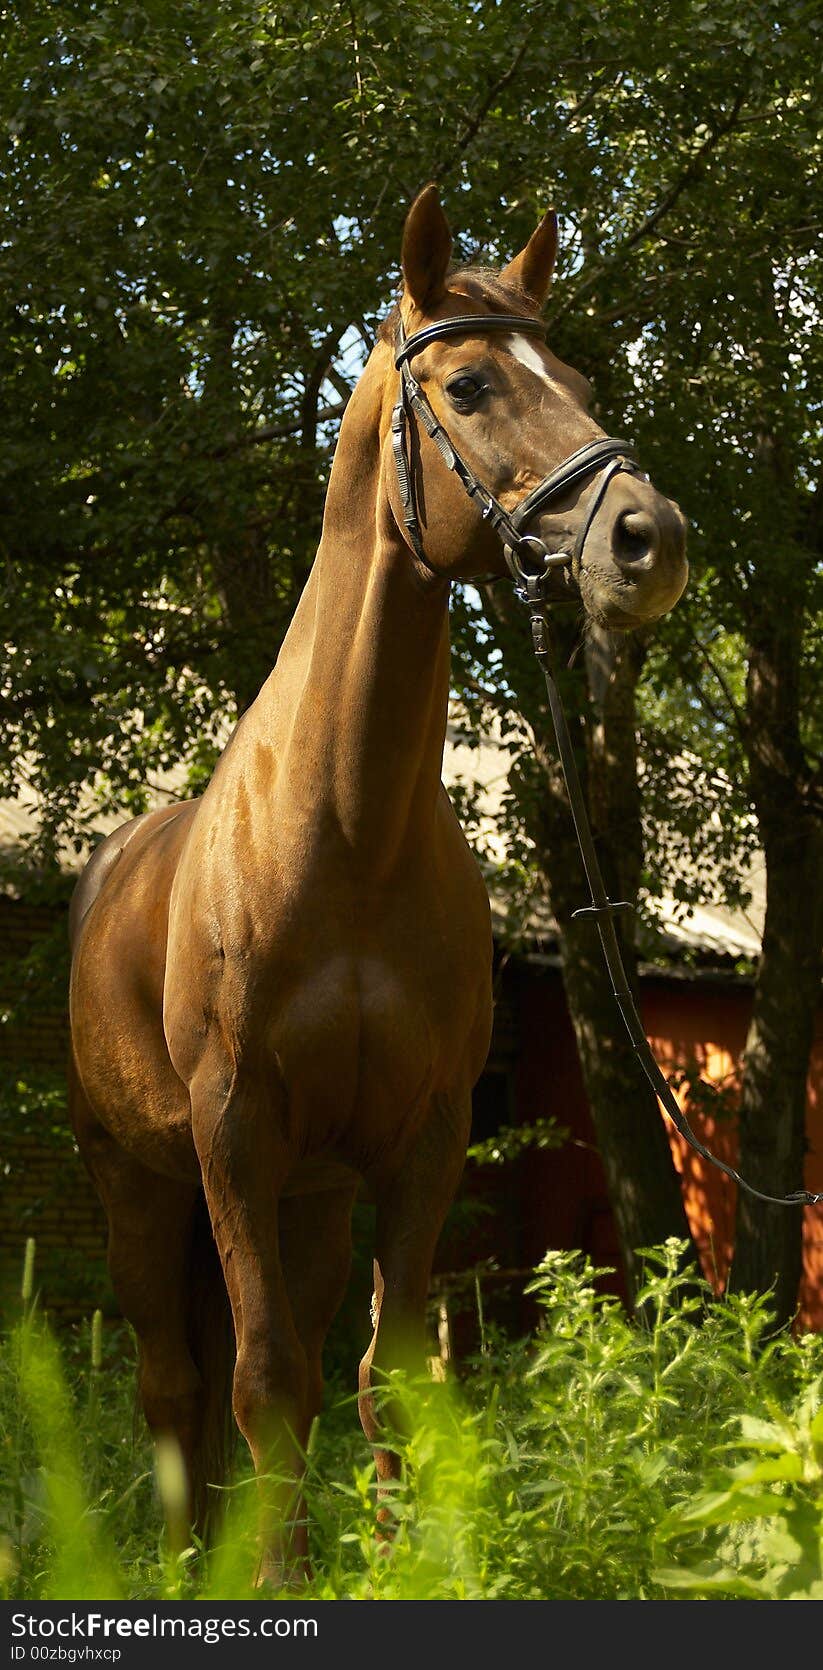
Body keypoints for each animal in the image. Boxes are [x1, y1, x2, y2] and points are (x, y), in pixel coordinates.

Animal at [68, 189, 687, 1583]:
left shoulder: (419, 1141)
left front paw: (407, 1566)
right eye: (468, 385)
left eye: (578, 381)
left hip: (304, 1199)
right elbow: (259, 1382)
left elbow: (381, 1377)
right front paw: (274, 1578)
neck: (342, 836)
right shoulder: (233, 1134)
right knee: (174, 1382)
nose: (649, 540)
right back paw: (190, 1561)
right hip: (140, 1185)